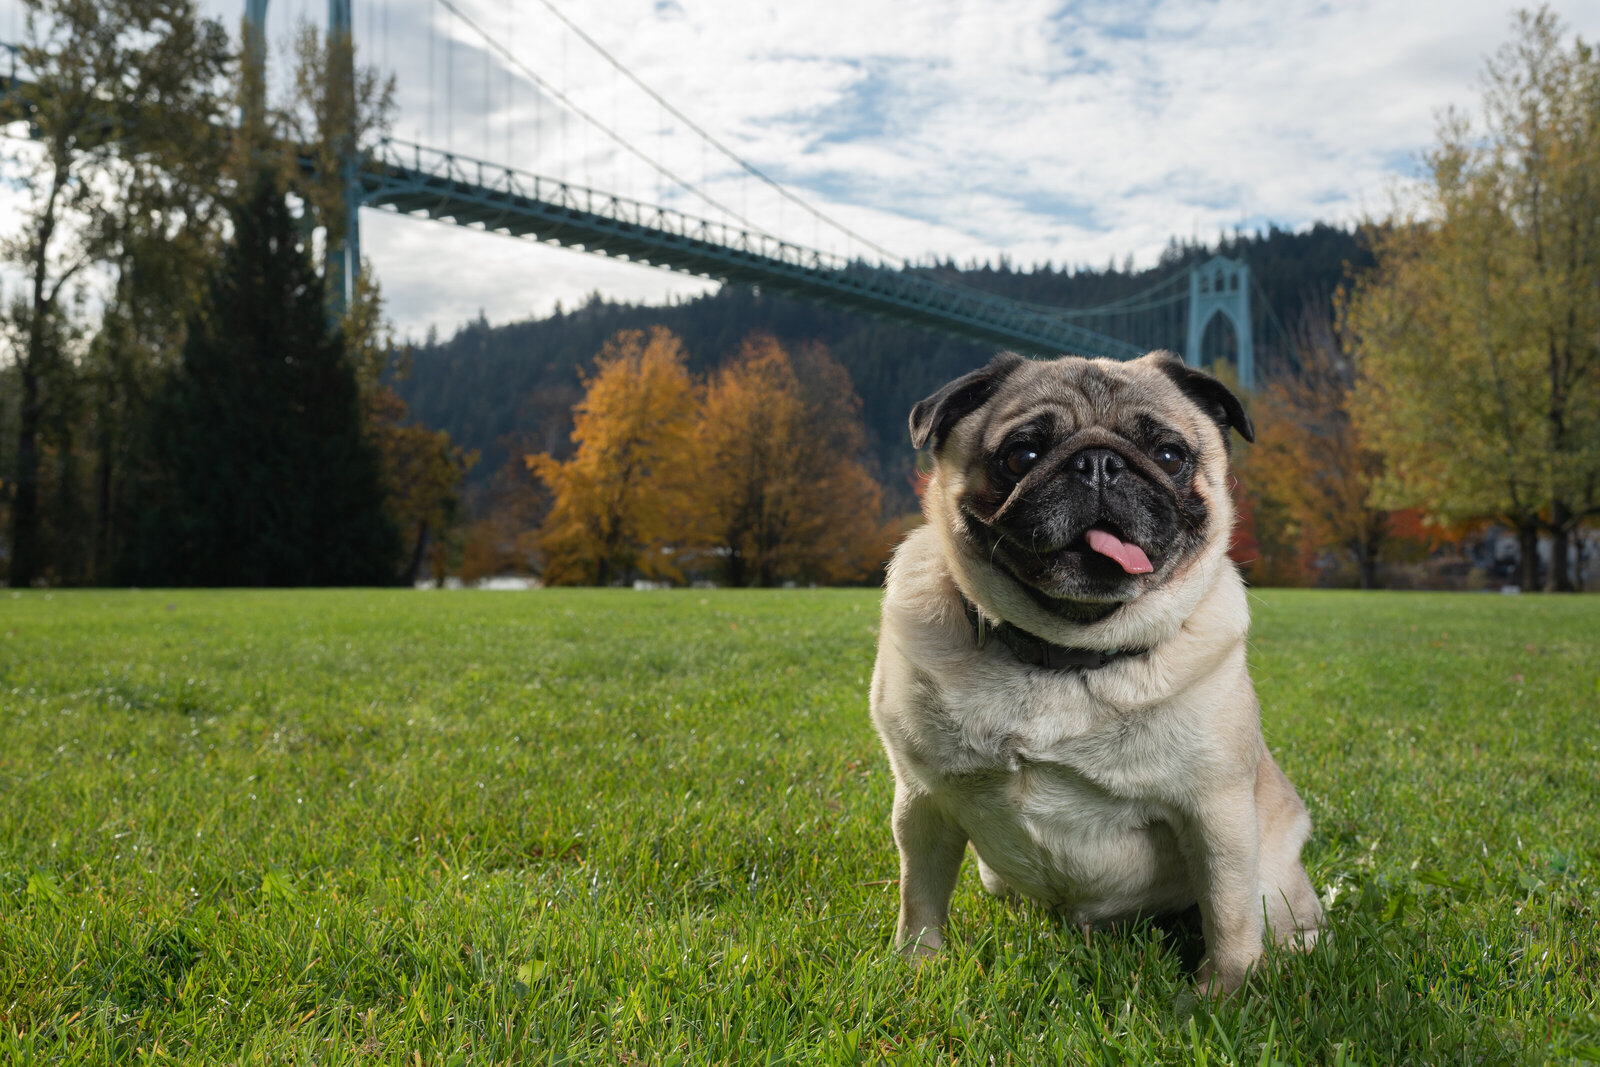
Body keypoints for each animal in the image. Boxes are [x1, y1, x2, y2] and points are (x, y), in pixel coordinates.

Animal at [870, 348, 1318, 991]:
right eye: (1022, 455)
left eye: (1169, 455)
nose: (1100, 464)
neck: (1065, 654)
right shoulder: (924, 800)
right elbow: (921, 897)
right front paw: (917, 968)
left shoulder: (1219, 814)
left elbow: (1229, 919)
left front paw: (1221, 997)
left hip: (1271, 869)